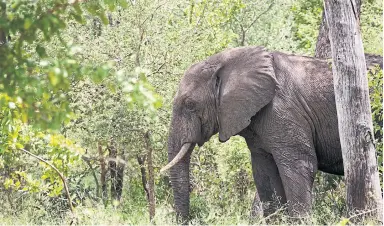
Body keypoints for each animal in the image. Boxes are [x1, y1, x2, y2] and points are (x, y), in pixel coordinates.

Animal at [159, 46, 380, 222]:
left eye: (190, 104)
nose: (187, 220)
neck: (227, 60)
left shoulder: (283, 110)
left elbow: (301, 164)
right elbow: (264, 171)